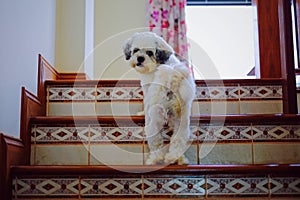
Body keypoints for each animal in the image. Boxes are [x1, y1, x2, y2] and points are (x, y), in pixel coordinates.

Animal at [123, 32, 196, 165]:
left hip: (154, 120)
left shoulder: (147, 88)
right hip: (182, 121)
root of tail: (172, 79)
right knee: (178, 140)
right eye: (136, 50)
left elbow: (145, 101)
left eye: (149, 53)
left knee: (156, 141)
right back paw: (176, 158)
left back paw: (154, 159)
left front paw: (142, 112)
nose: (140, 58)